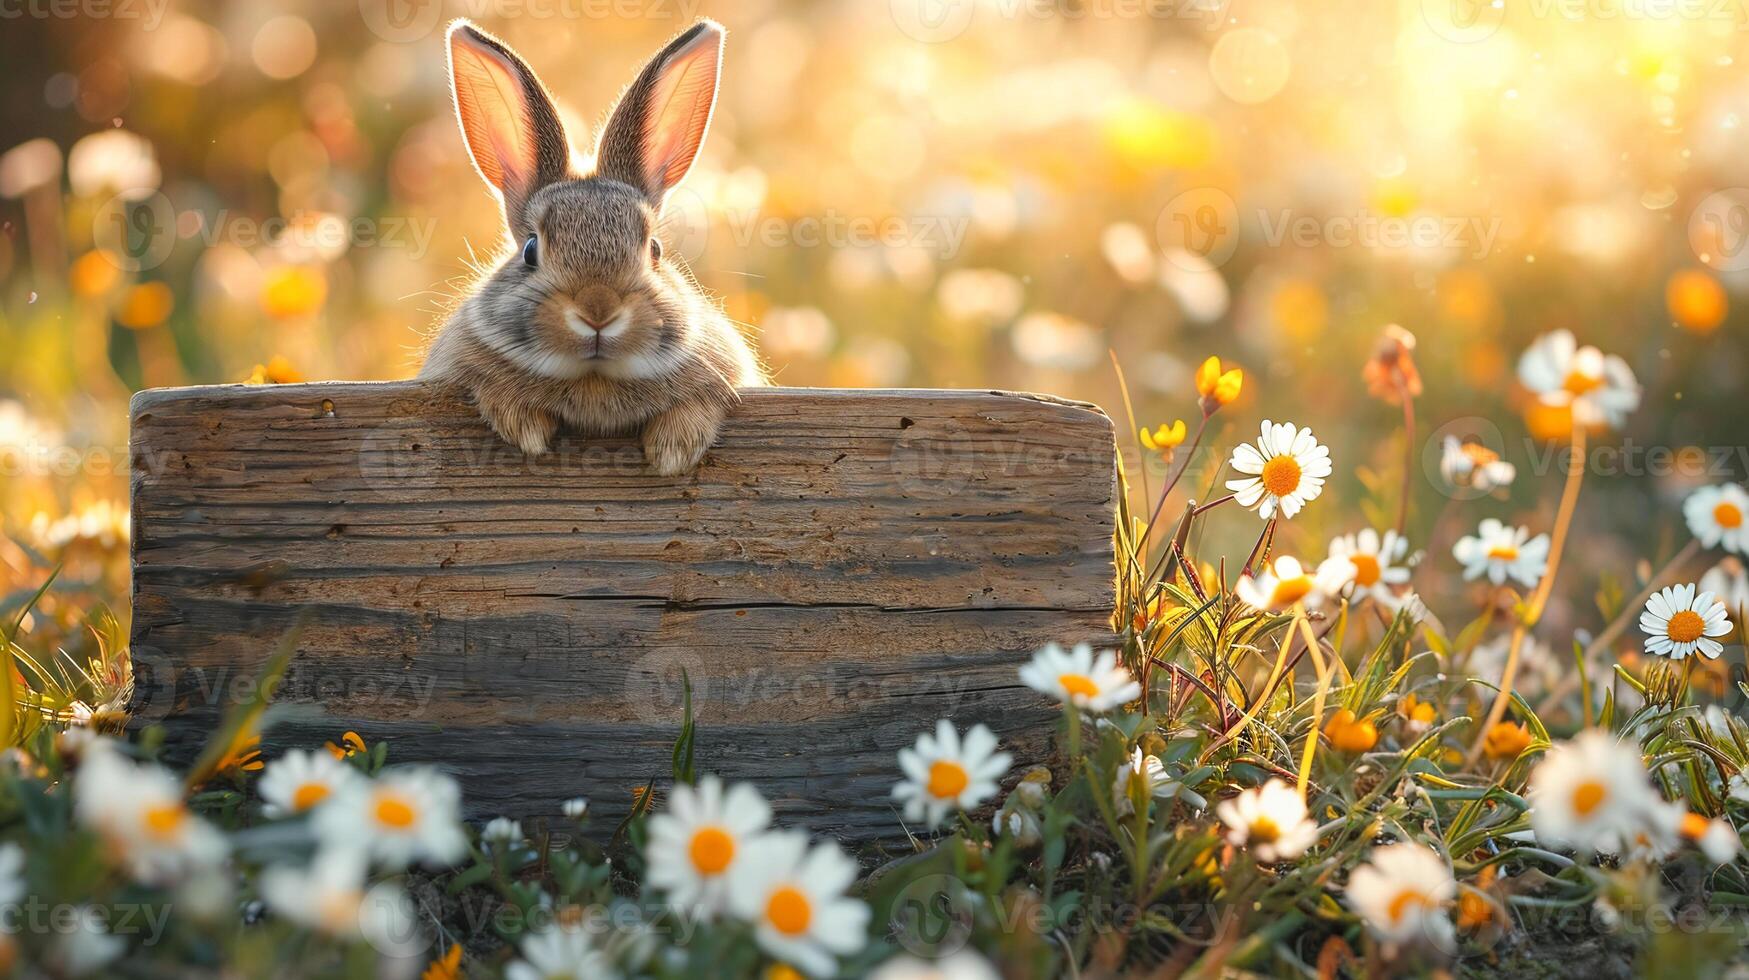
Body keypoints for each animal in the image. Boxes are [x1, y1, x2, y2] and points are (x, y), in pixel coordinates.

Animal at [421, 15, 766, 476]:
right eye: (530, 250)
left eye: (654, 250)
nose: (598, 311)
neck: (595, 382)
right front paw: (525, 428)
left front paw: (672, 451)